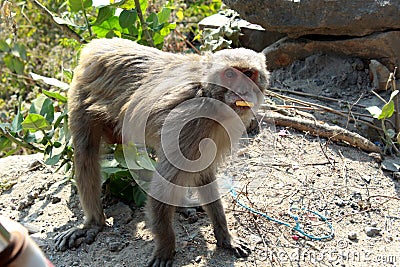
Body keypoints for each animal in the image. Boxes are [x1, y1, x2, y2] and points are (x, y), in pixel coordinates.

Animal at [55, 37, 268, 266]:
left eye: (249, 74)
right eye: (230, 74)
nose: (242, 90)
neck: (210, 96)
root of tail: (98, 44)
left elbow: (203, 173)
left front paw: (225, 237)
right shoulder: (192, 120)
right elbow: (165, 182)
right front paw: (166, 247)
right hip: (82, 91)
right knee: (86, 152)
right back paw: (93, 223)